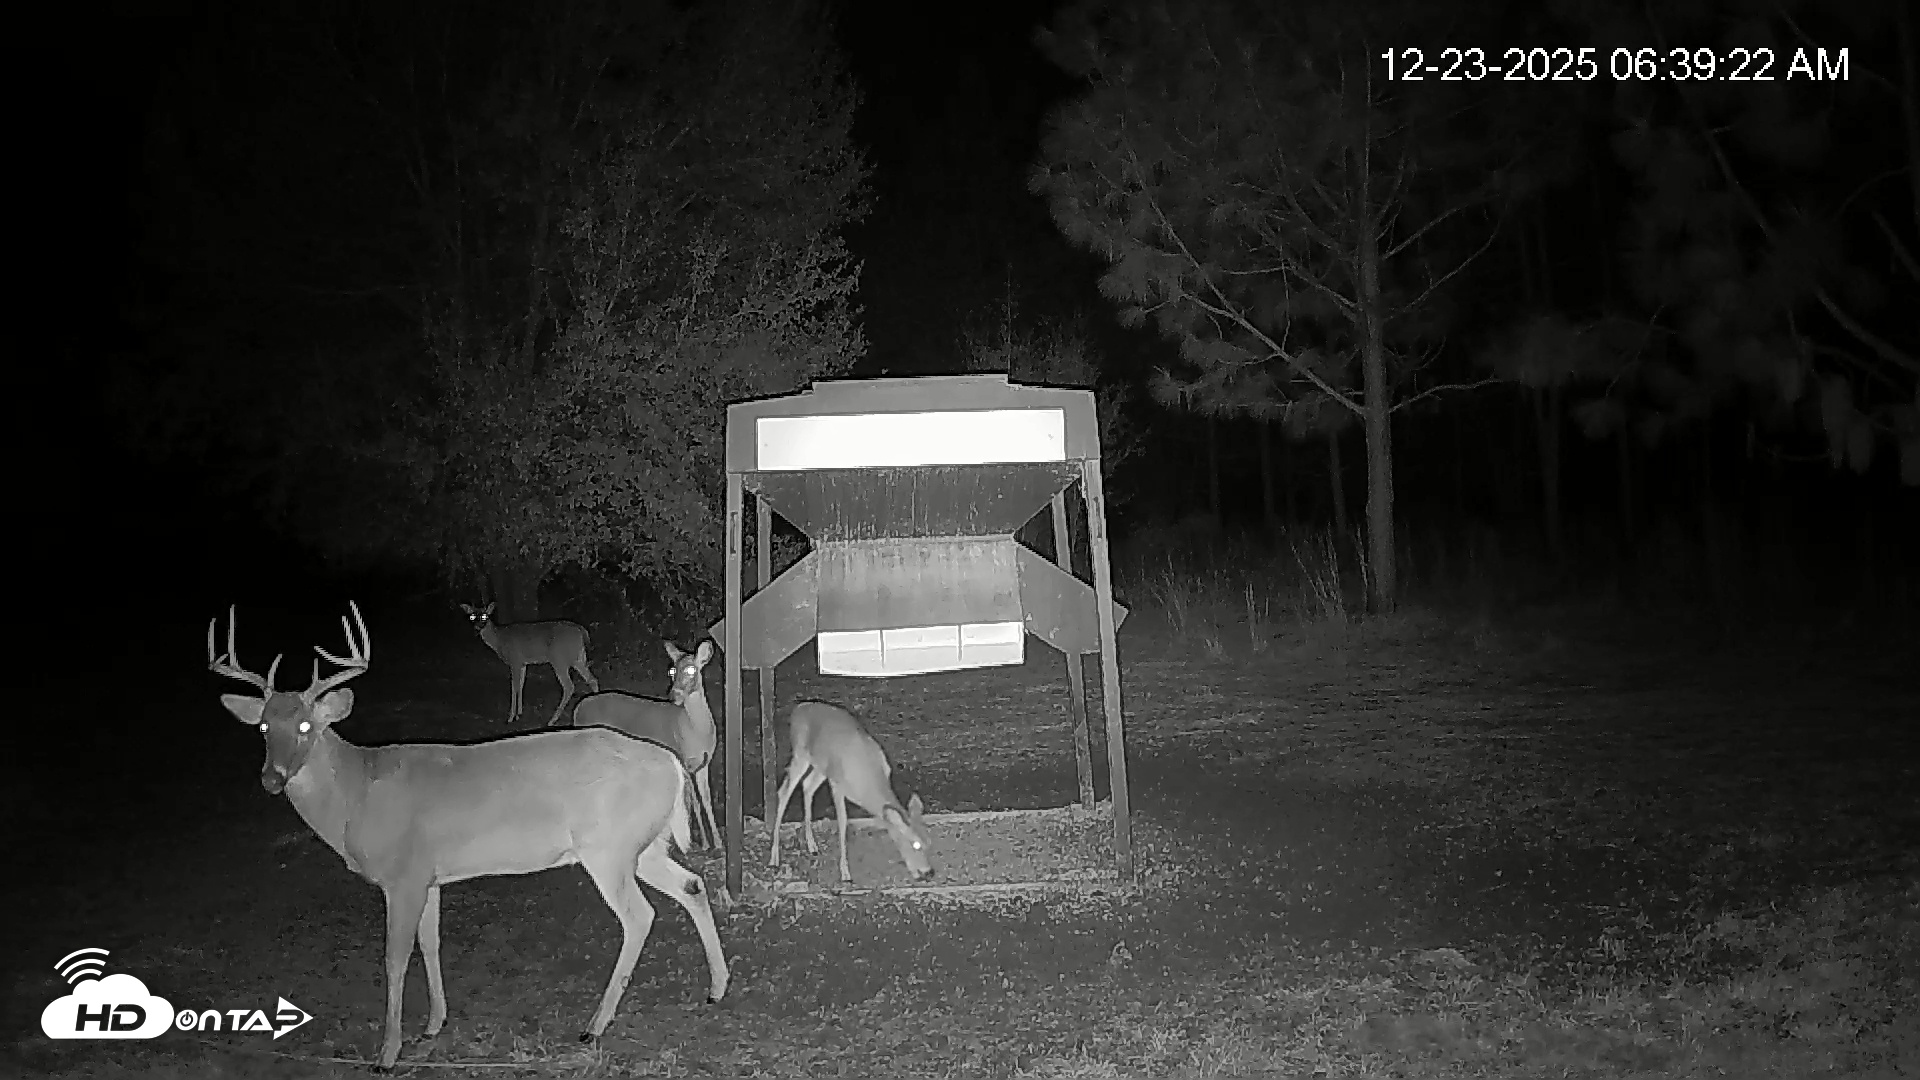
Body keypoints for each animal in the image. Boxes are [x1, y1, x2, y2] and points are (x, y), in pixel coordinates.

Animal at [459, 601, 599, 726]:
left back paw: (551, 721)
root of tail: (581, 630)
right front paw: (519, 713)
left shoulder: (514, 660)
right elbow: (521, 685)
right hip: (579, 657)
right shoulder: (523, 663)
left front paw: (511, 717)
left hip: (559, 658)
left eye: (485, 616)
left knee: (569, 686)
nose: (477, 627)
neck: (499, 640)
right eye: (472, 616)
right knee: (592, 679)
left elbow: (514, 686)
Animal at [568, 640, 721, 851]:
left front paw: (719, 843)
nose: (673, 696)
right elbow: (694, 802)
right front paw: (703, 844)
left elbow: (707, 800)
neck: (695, 730)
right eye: (672, 671)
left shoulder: (704, 763)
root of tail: (578, 709)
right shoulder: (682, 759)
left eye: (692, 669)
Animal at [768, 702, 933, 883]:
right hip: (800, 754)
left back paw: (812, 846)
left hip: (821, 766)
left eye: (929, 841)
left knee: (807, 786)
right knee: (784, 791)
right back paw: (774, 859)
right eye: (915, 844)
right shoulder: (837, 785)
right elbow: (843, 823)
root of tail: (798, 708)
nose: (928, 872)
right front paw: (845, 873)